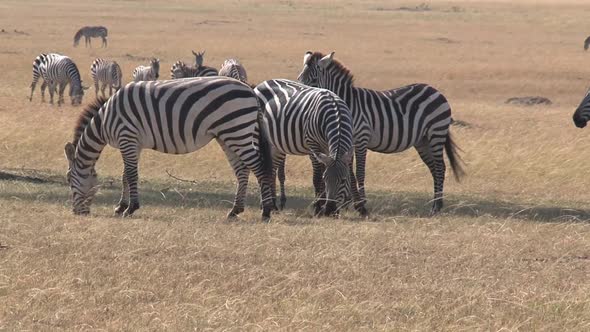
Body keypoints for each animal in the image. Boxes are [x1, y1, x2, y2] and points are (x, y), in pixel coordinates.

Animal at [63, 76, 276, 219]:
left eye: (70, 181)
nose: (76, 212)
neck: (105, 120)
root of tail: (250, 90)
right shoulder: (133, 143)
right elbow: (125, 175)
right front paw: (121, 206)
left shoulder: (127, 137)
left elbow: (131, 174)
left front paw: (131, 208)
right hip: (229, 135)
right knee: (242, 170)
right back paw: (234, 210)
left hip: (237, 130)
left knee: (258, 168)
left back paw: (265, 211)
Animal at [253, 79, 354, 217]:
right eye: (326, 180)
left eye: (344, 180)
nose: (329, 211)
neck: (336, 113)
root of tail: (262, 83)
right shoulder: (313, 145)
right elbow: (317, 177)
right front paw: (318, 207)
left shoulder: (328, 149)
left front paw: (323, 206)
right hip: (260, 137)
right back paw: (265, 204)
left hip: (276, 145)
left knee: (271, 170)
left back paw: (273, 205)